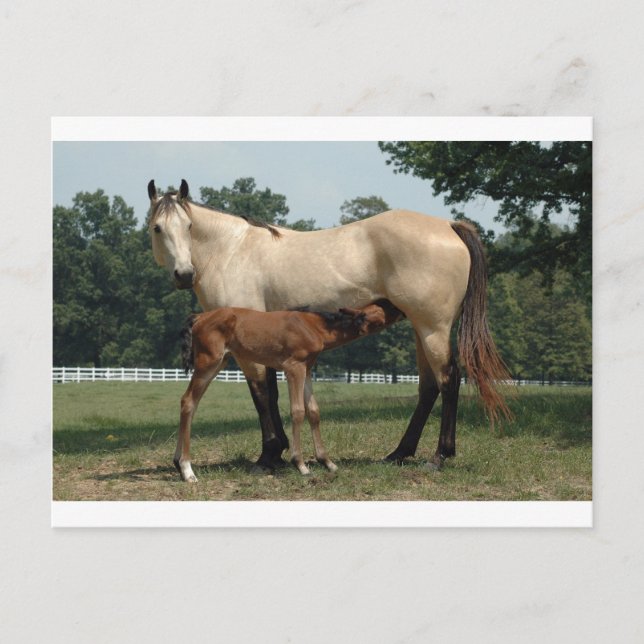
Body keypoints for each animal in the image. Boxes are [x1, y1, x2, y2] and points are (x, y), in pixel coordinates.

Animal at [176, 300, 405, 481]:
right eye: (384, 308)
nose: (400, 307)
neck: (313, 326)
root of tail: (199, 316)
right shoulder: (294, 368)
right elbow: (297, 411)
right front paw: (301, 465)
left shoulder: (307, 369)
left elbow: (313, 411)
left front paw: (327, 462)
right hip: (208, 362)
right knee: (188, 401)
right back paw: (188, 471)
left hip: (219, 362)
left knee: (190, 404)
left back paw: (178, 463)